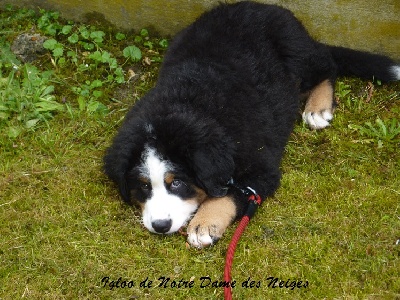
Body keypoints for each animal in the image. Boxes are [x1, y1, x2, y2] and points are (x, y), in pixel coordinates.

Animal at [104, 1, 400, 247]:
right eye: (143, 186)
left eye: (176, 183)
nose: (160, 226)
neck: (183, 104)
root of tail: (262, 6)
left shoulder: (261, 168)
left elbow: (228, 195)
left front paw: (205, 224)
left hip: (298, 53)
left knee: (327, 66)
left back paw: (318, 108)